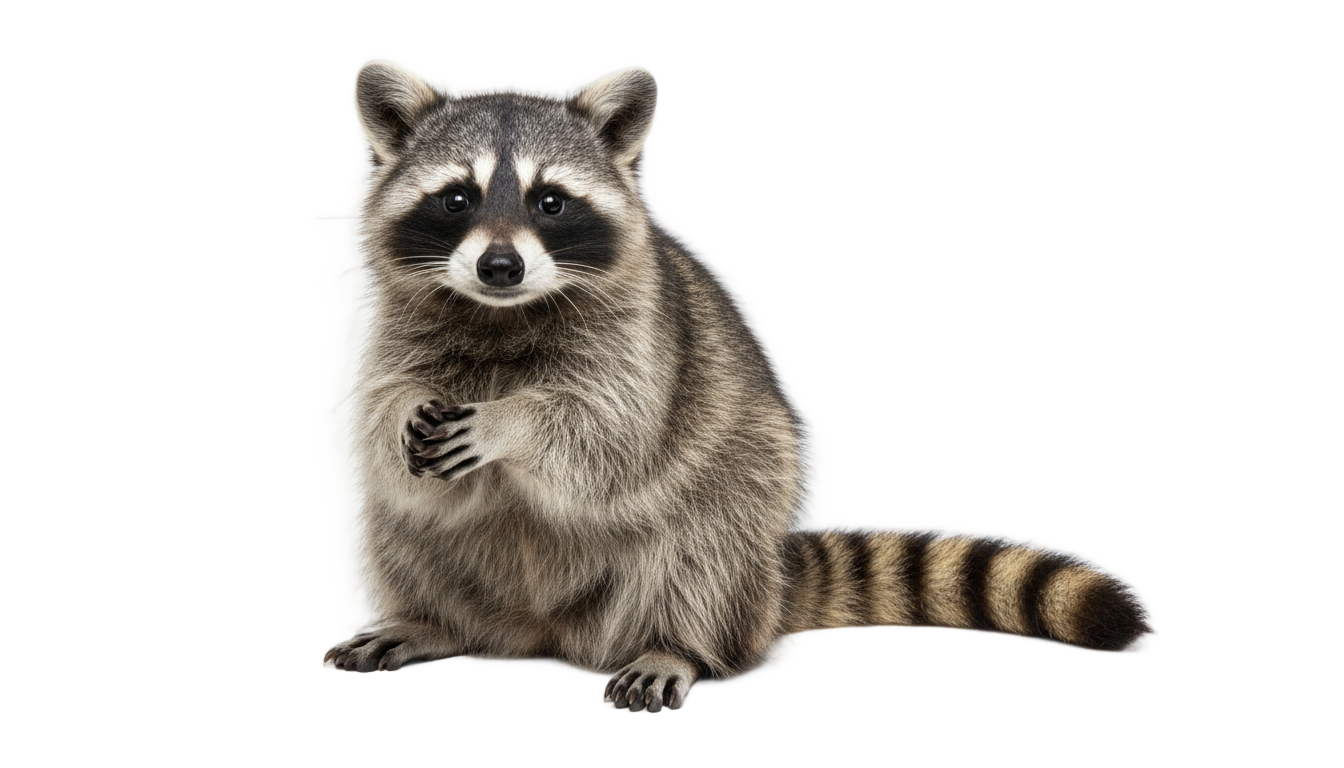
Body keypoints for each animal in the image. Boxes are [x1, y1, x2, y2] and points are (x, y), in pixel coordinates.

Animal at [322, 62, 1150, 709]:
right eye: (456, 198)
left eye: (549, 201)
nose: (500, 267)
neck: (500, 314)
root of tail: (544, 634)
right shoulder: (395, 328)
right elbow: (371, 412)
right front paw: (404, 413)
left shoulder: (641, 346)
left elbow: (605, 433)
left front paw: (512, 422)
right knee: (400, 524)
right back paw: (434, 621)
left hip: (738, 497)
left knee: (700, 550)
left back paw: (675, 645)